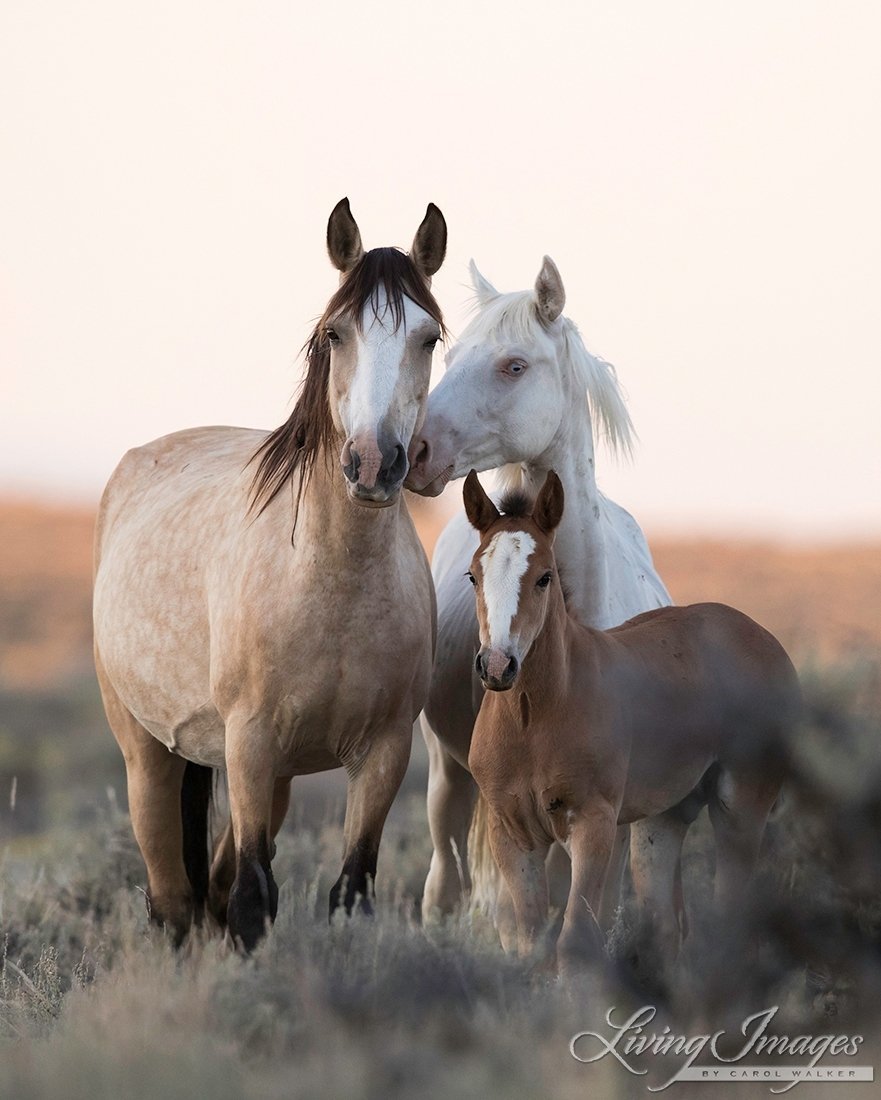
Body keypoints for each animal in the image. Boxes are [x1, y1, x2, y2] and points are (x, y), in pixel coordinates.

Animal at [93, 198, 447, 949]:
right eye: (334, 333)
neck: (332, 584)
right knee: (173, 901)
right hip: (149, 753)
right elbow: (253, 900)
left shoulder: (383, 753)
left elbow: (347, 893)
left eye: (428, 337)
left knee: (210, 887)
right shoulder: (249, 742)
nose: (373, 464)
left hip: (275, 774)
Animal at [403, 256, 670, 927]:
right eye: (448, 357)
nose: (412, 451)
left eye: (515, 365)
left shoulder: (602, 811)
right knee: (445, 880)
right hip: (445, 775)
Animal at [462, 469, 801, 973]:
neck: (533, 720)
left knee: (731, 917)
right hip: (661, 821)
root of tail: (767, 641)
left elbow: (575, 941)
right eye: (473, 576)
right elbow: (532, 946)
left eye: (545, 577)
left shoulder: (593, 824)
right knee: (666, 926)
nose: (498, 665)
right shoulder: (513, 834)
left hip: (740, 806)